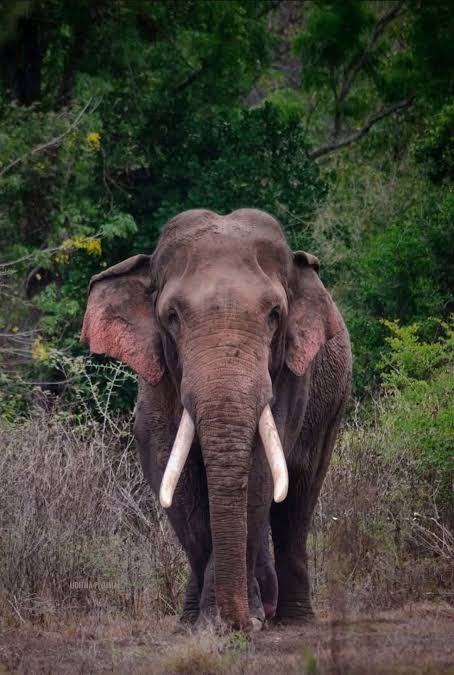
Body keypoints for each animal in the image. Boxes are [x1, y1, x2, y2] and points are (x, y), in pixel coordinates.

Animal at [81, 208, 352, 631]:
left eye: (275, 314)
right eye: (172, 316)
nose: (247, 622)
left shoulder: (291, 376)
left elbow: (260, 475)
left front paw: (237, 619)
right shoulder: (158, 376)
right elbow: (170, 472)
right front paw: (207, 622)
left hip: (332, 404)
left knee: (298, 500)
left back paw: (292, 618)